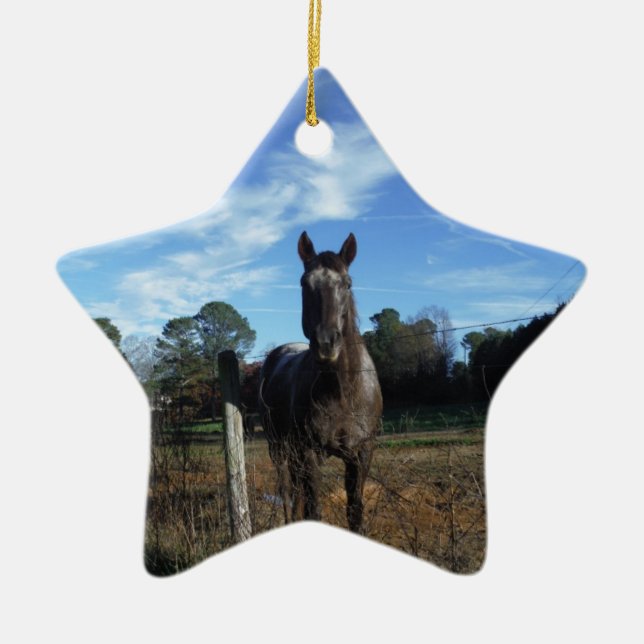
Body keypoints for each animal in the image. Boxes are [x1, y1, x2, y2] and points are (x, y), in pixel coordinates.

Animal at [259, 231, 383, 533]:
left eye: (347, 283)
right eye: (304, 283)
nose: (327, 343)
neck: (343, 391)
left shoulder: (361, 453)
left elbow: (355, 511)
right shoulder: (309, 453)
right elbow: (314, 508)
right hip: (278, 448)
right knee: (288, 493)